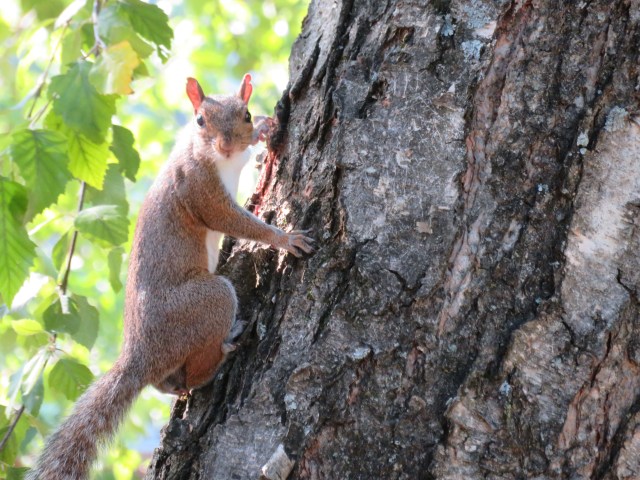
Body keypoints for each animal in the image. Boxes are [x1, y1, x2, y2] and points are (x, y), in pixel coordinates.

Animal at [27, 74, 314, 480]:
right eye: (199, 120)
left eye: (243, 114)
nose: (227, 143)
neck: (218, 159)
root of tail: (140, 355)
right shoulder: (198, 187)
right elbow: (233, 221)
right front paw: (285, 239)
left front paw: (263, 126)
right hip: (207, 301)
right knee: (196, 370)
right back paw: (225, 350)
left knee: (167, 383)